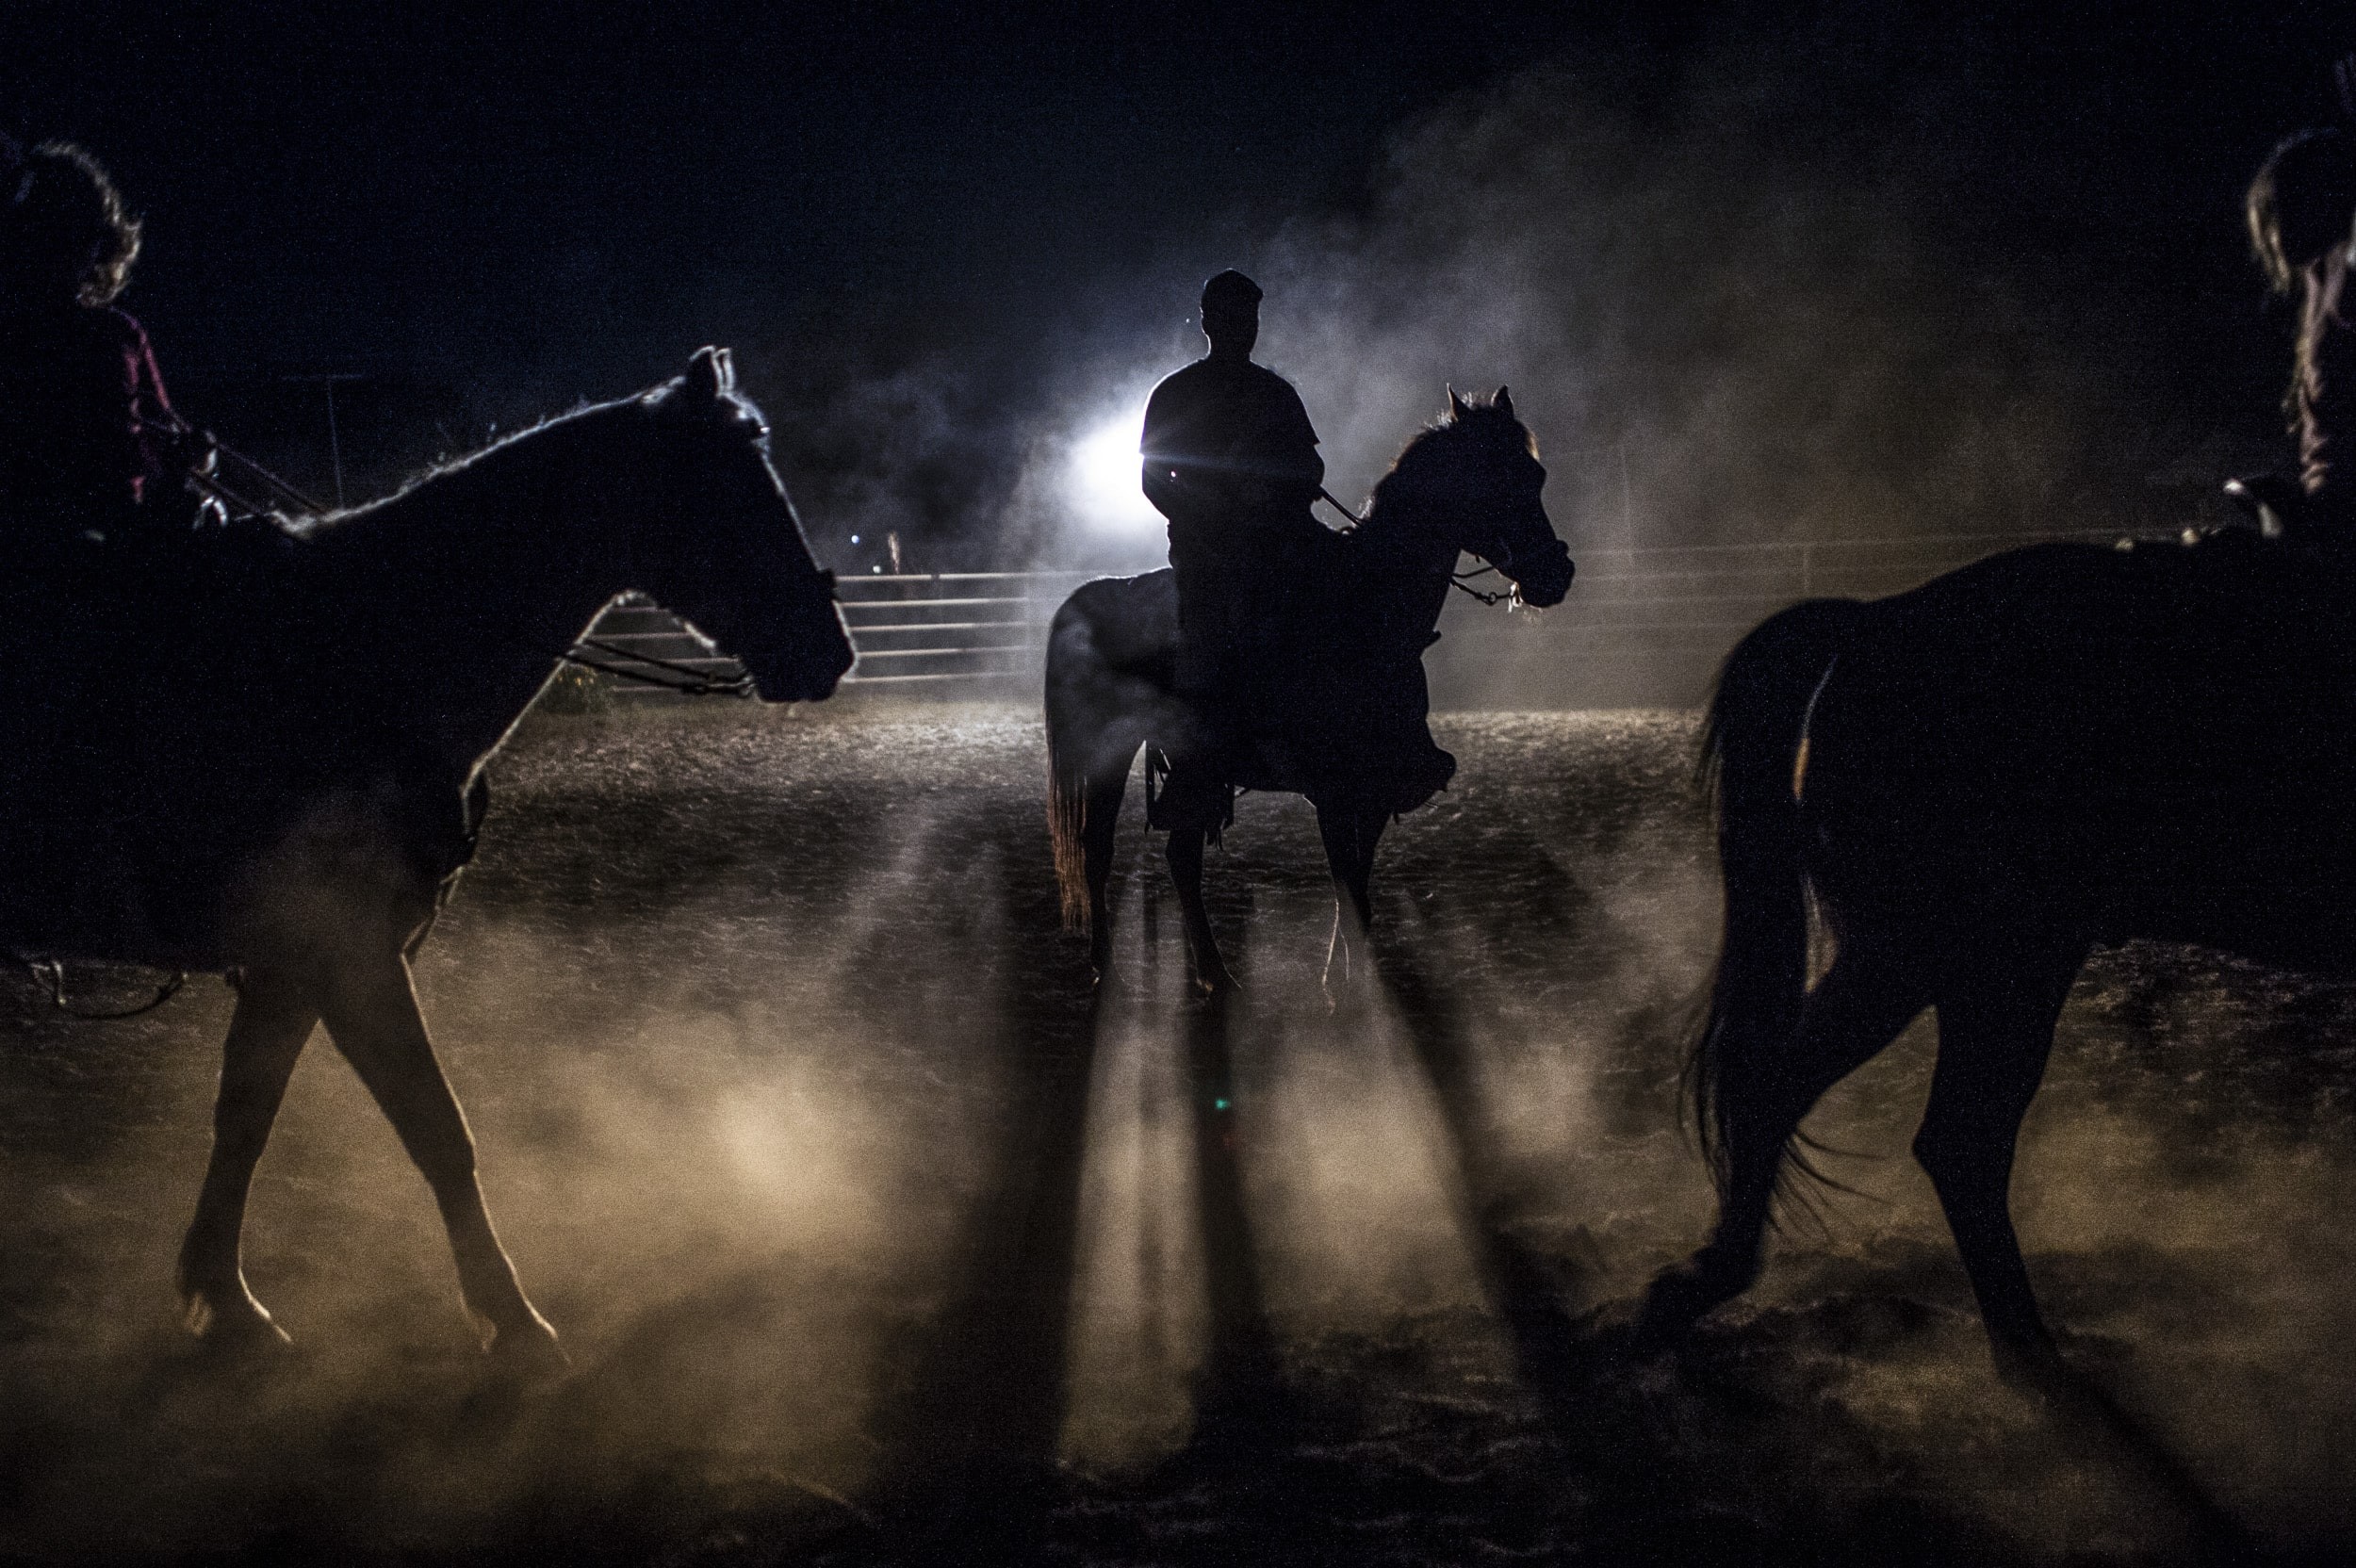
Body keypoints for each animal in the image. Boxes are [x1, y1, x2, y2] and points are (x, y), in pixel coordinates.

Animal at [1, 346, 851, 1368]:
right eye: (732, 489)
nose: (831, 650)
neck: (368, 653)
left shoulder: (295, 966)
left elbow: (245, 1120)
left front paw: (225, 1297)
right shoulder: (351, 957)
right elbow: (439, 1132)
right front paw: (514, 1322)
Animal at [1045, 388, 1574, 996]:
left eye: (1536, 474)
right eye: (1489, 475)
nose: (1555, 574)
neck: (1359, 608)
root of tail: (1093, 597)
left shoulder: (1375, 789)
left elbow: (1358, 890)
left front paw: (1346, 980)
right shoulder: (1333, 791)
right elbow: (1347, 885)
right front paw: (1348, 992)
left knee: (1179, 856)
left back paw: (1215, 974)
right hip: (1107, 753)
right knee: (1098, 851)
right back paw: (1107, 968)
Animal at [1633, 528, 2356, 1380]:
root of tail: (1872, 623)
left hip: (1963, 964)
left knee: (1873, 1117)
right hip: (1959, 956)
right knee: (1926, 1132)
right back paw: (2031, 1360)